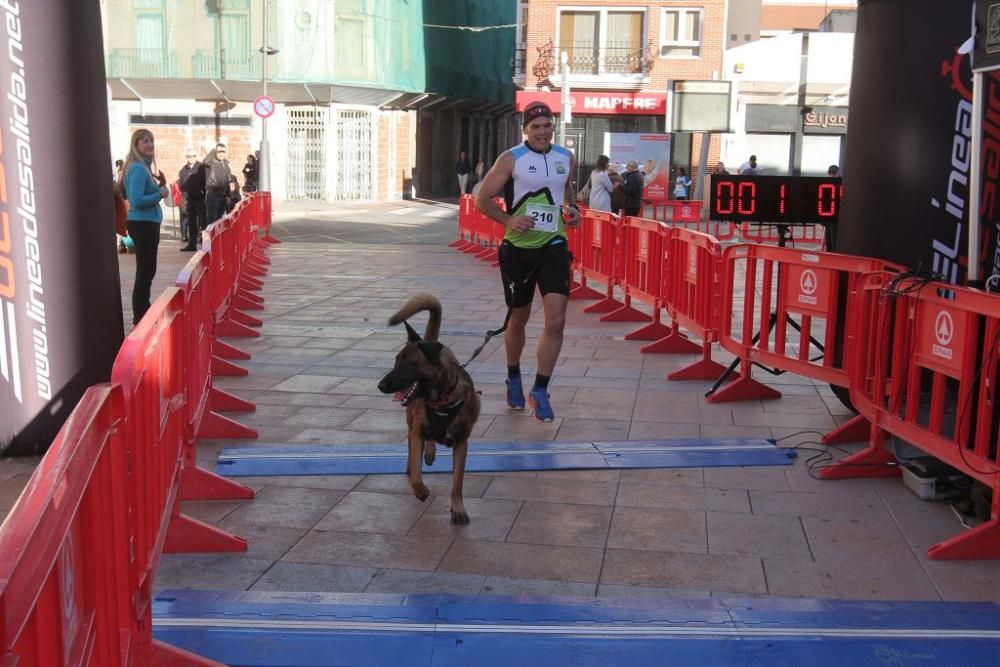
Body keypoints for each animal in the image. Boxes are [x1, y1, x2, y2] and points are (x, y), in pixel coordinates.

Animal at [378, 294, 480, 524]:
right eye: (395, 361)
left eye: (408, 364)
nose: (380, 385)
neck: (442, 402)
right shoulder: (418, 432)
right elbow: (417, 474)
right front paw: (421, 490)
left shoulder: (461, 444)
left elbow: (457, 483)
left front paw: (458, 508)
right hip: (412, 421)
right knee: (415, 445)